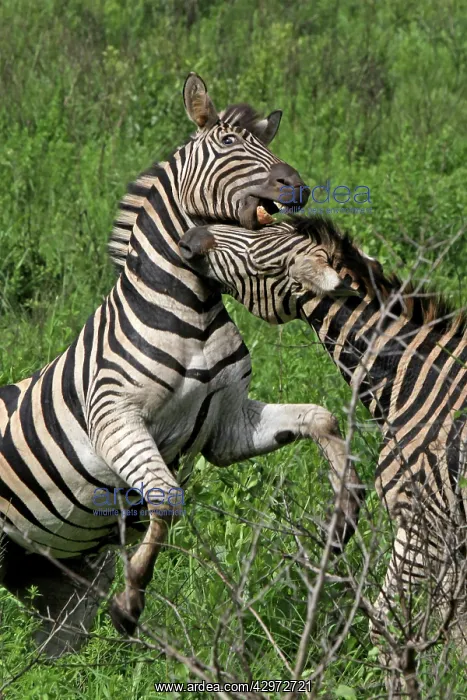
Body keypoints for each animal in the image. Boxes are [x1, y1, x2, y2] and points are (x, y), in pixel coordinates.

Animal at [0, 75, 359, 658]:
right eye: (229, 144)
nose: (298, 186)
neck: (193, 308)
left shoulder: (226, 427)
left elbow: (321, 417)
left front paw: (343, 517)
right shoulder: (113, 418)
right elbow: (167, 499)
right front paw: (130, 603)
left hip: (55, 575)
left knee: (56, 651)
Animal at [179, 216, 467, 696]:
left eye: (257, 257)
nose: (188, 237)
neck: (411, 379)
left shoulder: (422, 522)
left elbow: (390, 628)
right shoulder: (452, 533)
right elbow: (454, 628)